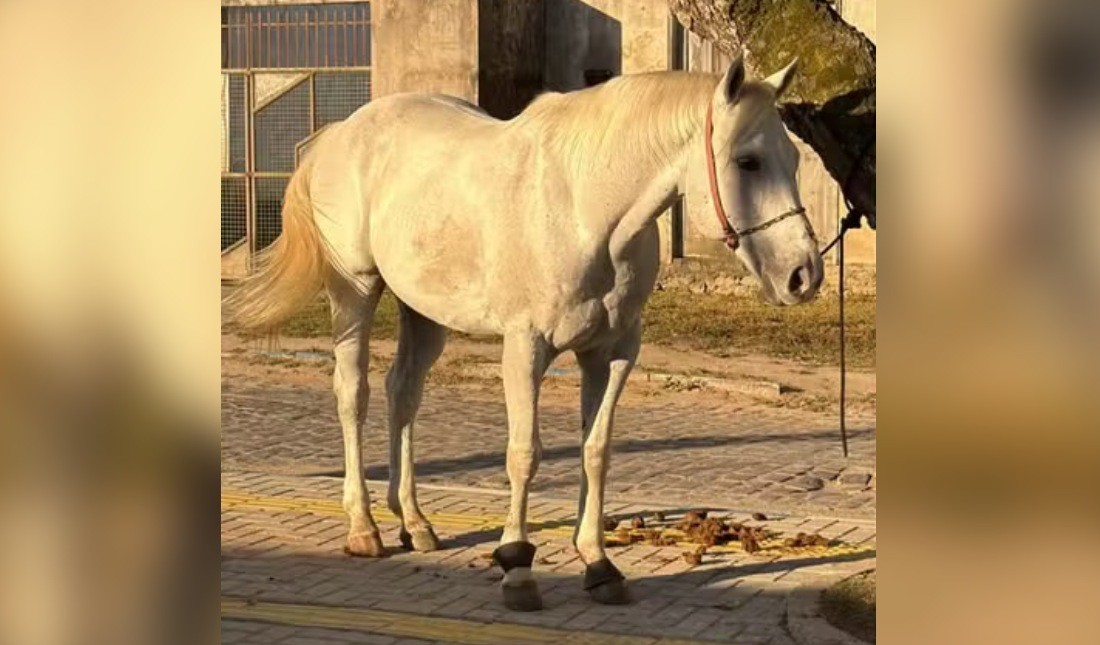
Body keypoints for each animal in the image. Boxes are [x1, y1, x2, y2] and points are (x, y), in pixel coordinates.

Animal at [226, 54, 823, 611]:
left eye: (794, 158)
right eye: (747, 161)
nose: (804, 275)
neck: (585, 210)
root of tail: (339, 134)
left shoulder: (612, 353)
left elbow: (596, 450)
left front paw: (599, 564)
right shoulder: (525, 348)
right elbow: (524, 454)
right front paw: (516, 566)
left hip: (423, 311)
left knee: (403, 393)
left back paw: (415, 523)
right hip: (354, 293)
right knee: (354, 394)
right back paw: (364, 528)